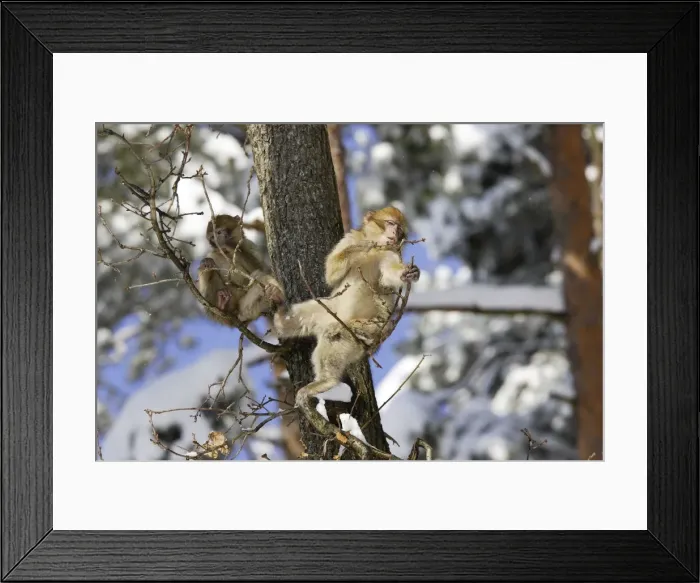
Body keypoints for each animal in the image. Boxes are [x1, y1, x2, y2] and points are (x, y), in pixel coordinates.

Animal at [273, 206, 420, 424]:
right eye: (390, 223)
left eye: (400, 229)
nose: (395, 233)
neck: (376, 251)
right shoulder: (350, 239)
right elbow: (331, 273)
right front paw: (362, 246)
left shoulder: (391, 254)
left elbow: (390, 274)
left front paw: (408, 274)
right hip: (329, 310)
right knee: (301, 317)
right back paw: (282, 320)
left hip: (370, 329)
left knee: (336, 334)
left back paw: (326, 381)